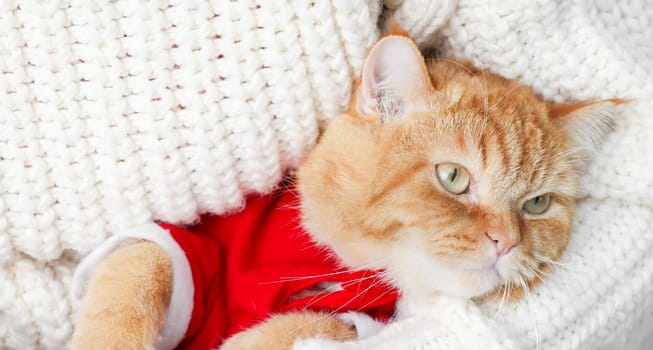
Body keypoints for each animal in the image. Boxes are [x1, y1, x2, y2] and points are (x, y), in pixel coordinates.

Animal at [70, 30, 616, 350]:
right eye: (453, 177)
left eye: (537, 204)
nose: (507, 242)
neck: (328, 260)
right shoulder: (195, 241)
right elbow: (139, 272)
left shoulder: (361, 319)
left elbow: (304, 325)